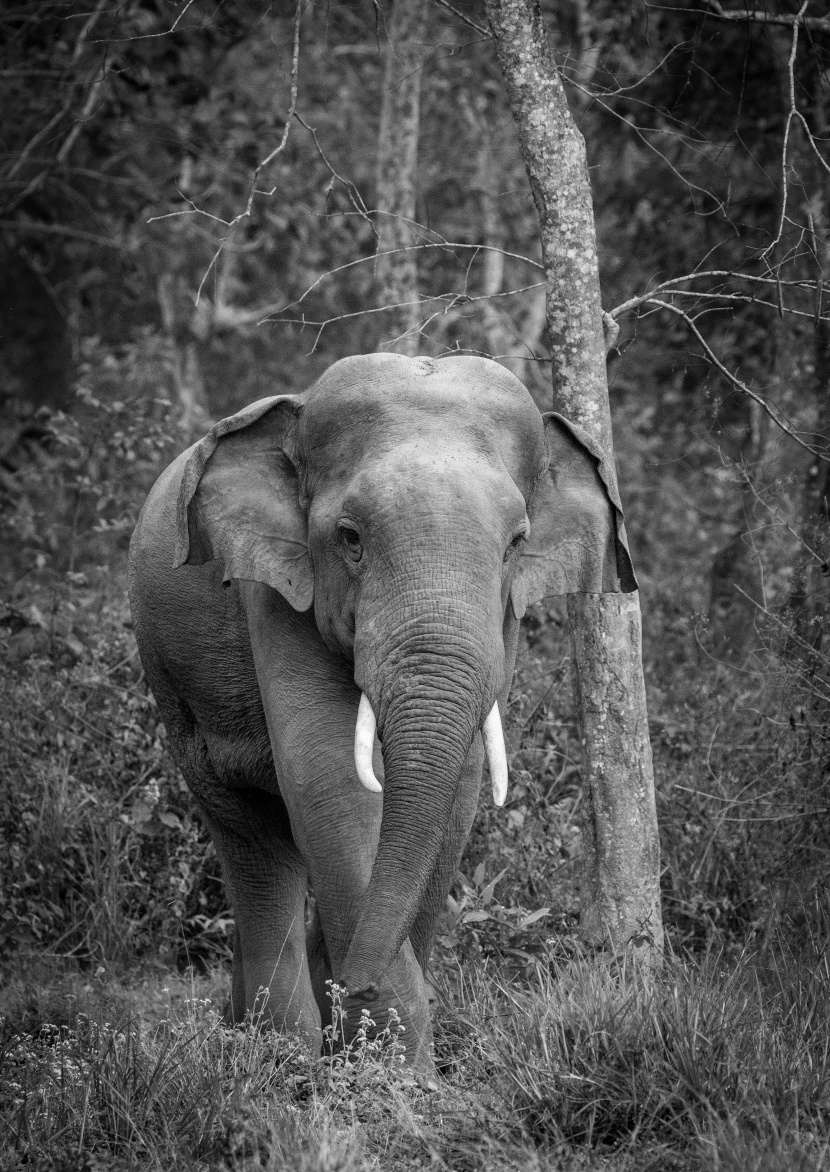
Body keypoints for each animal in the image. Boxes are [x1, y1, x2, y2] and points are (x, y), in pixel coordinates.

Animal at [129, 351, 637, 1068]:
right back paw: (280, 1053)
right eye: (348, 537)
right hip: (176, 693)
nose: (356, 984)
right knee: (254, 839)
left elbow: (458, 790)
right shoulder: (276, 588)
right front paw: (391, 1071)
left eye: (516, 542)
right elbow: (330, 776)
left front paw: (378, 1056)